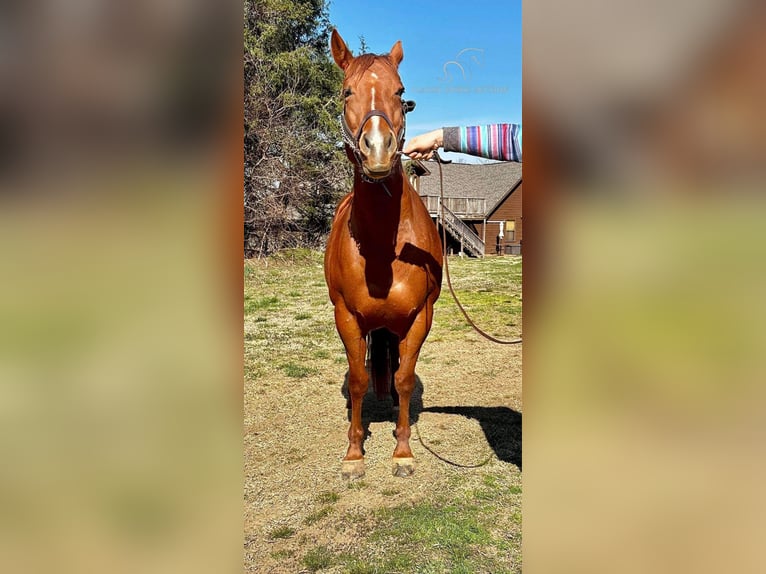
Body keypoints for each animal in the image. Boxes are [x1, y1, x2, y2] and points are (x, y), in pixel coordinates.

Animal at [324, 31, 444, 482]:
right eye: (347, 91)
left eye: (401, 92)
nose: (377, 148)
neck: (381, 249)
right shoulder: (347, 318)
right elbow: (359, 380)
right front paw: (354, 455)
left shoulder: (418, 317)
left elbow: (405, 378)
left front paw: (403, 451)